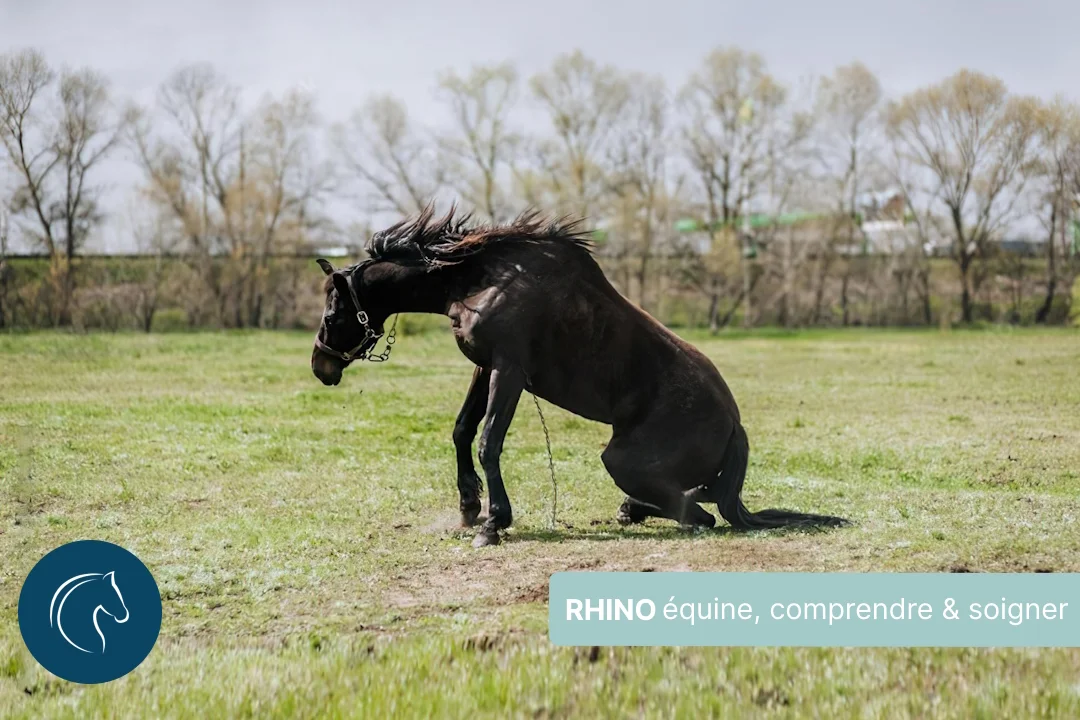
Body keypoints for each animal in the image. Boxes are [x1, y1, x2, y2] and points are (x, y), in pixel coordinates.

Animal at [311, 207, 847, 547]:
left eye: (334, 310)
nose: (321, 366)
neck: (480, 277)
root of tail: (735, 425)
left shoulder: (508, 370)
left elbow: (488, 441)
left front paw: (492, 523)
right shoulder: (485, 366)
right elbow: (463, 431)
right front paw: (468, 506)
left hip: (621, 460)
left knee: (699, 514)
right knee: (699, 501)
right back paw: (631, 510)